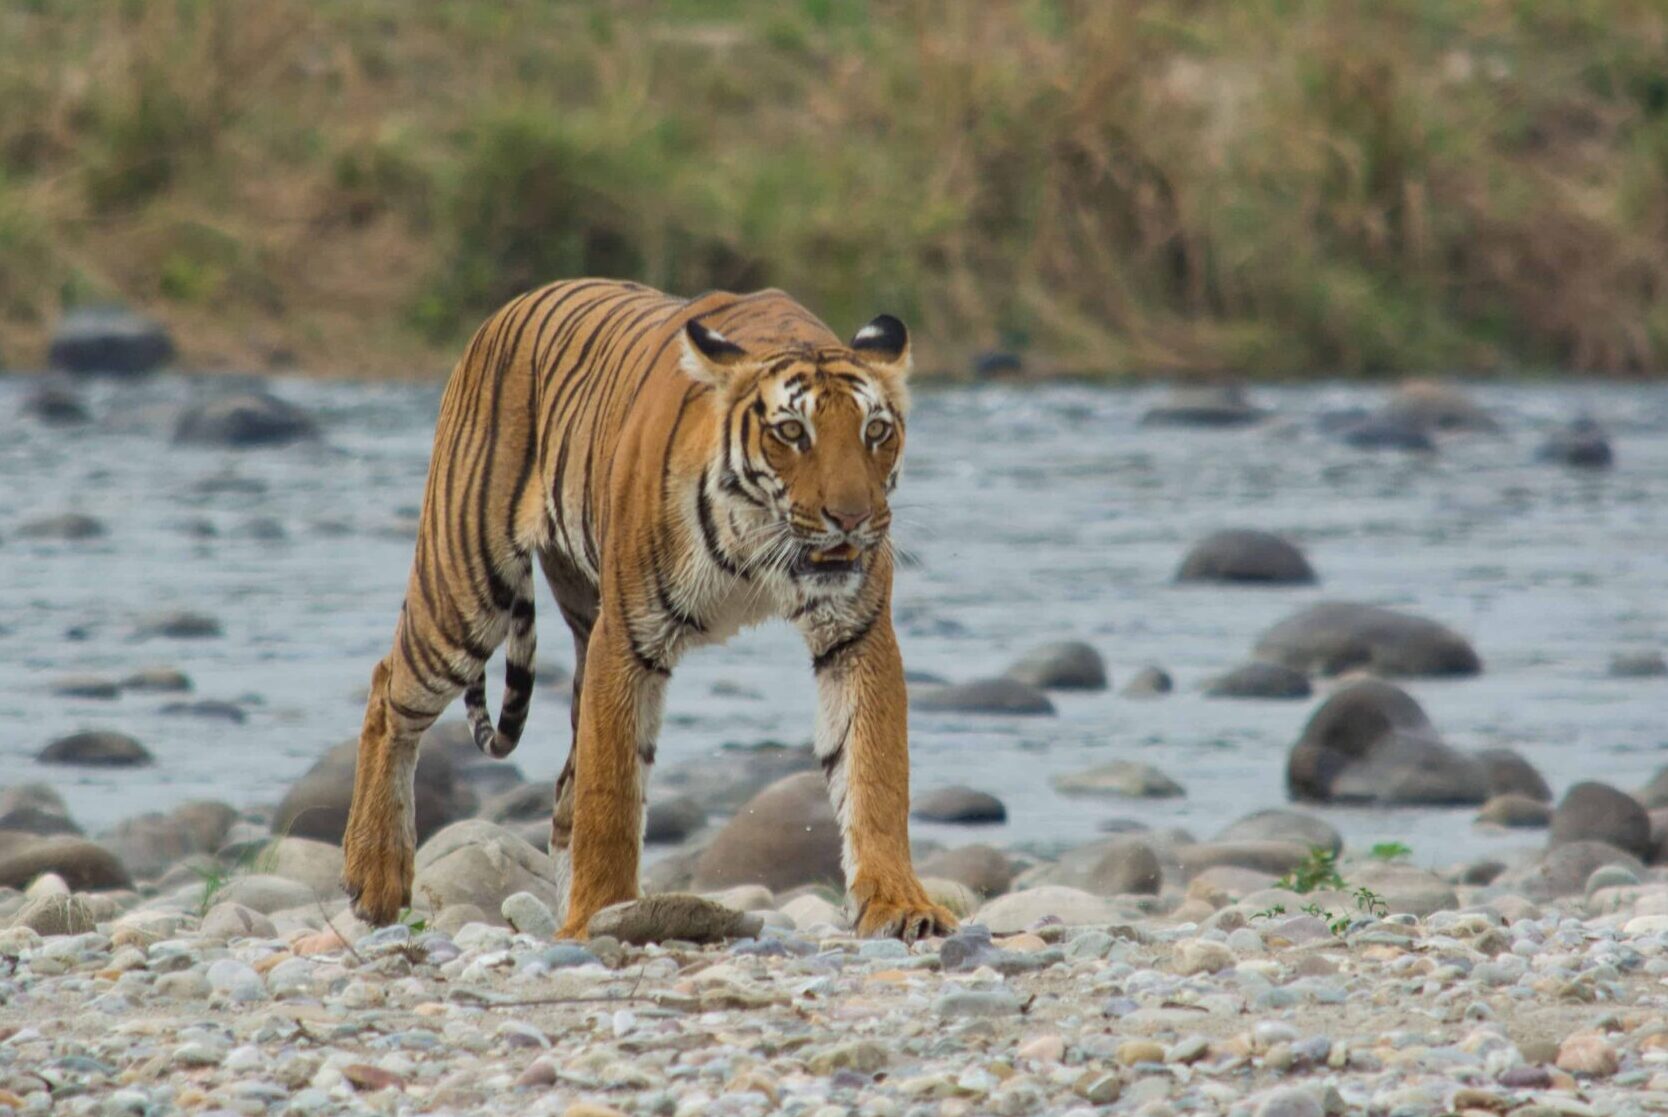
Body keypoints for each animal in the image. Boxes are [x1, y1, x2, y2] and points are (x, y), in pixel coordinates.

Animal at [341, 280, 954, 946]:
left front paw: (899, 903)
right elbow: (610, 796)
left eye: (876, 431)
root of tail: (509, 307)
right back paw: (373, 878)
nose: (852, 518)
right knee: (388, 692)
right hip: (467, 588)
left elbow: (874, 772)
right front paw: (595, 917)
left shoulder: (855, 634)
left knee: (563, 788)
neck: (758, 542)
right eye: (792, 432)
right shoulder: (627, 638)